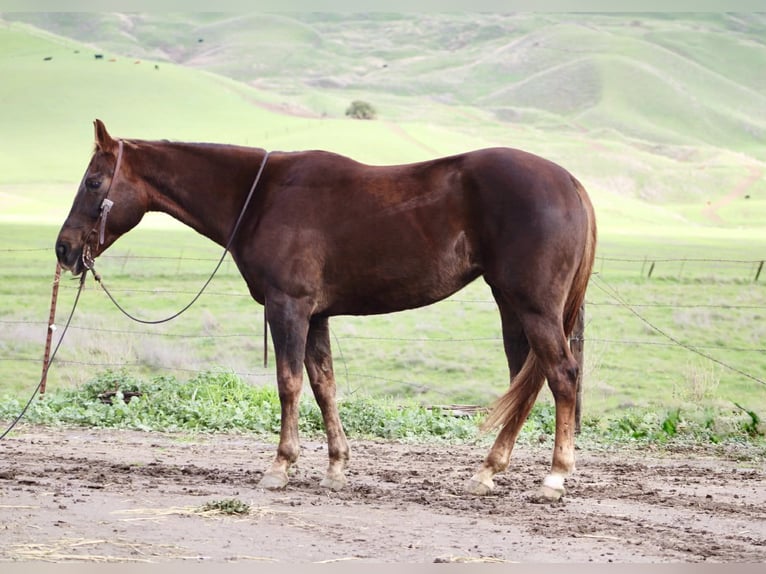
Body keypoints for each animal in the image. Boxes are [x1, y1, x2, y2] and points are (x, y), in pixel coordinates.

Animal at [56, 119, 596, 501]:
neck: (262, 195)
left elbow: (289, 383)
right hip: (512, 307)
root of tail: (570, 182)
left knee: (562, 376)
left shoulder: (288, 308)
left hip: (533, 307)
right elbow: (324, 386)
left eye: (93, 182)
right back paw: (488, 471)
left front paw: (280, 466)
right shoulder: (316, 316)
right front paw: (336, 467)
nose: (64, 249)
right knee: (527, 383)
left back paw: (553, 478)